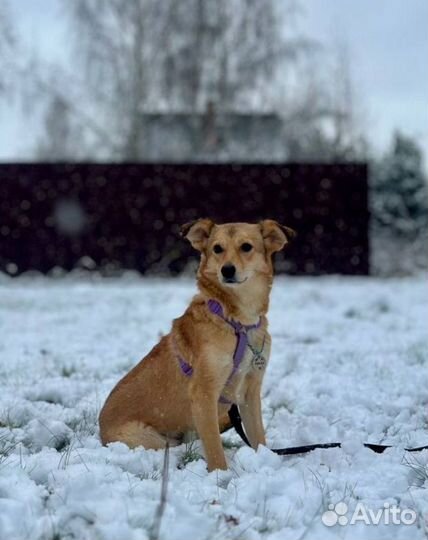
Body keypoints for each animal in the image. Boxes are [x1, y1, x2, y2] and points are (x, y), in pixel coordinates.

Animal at [98, 217, 296, 470]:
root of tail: (100, 429)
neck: (237, 321)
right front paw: (221, 475)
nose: (227, 270)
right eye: (217, 249)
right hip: (150, 439)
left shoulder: (250, 391)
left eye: (246, 247)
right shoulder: (204, 394)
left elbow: (258, 437)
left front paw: (264, 460)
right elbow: (214, 448)